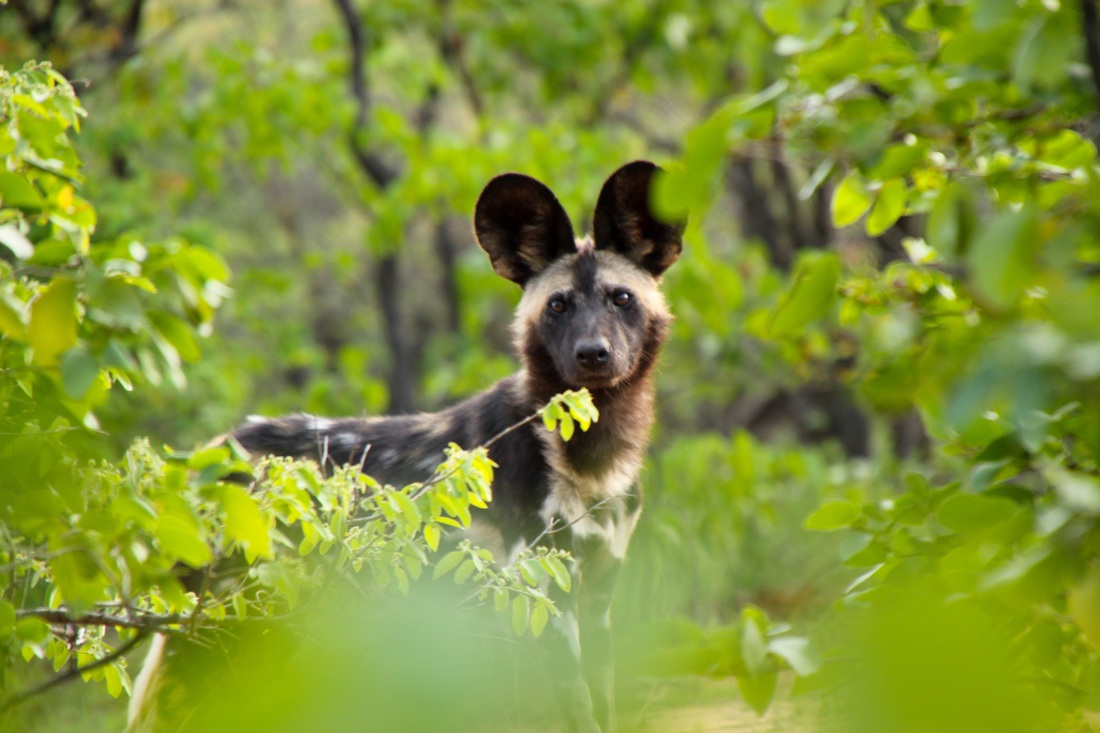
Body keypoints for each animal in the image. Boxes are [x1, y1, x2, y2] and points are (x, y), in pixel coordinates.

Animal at [221, 161, 677, 730]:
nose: (593, 353)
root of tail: (220, 447)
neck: (592, 460)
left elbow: (603, 702)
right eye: (558, 305)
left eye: (622, 298)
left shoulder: (599, 594)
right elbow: (579, 709)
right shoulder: (546, 597)